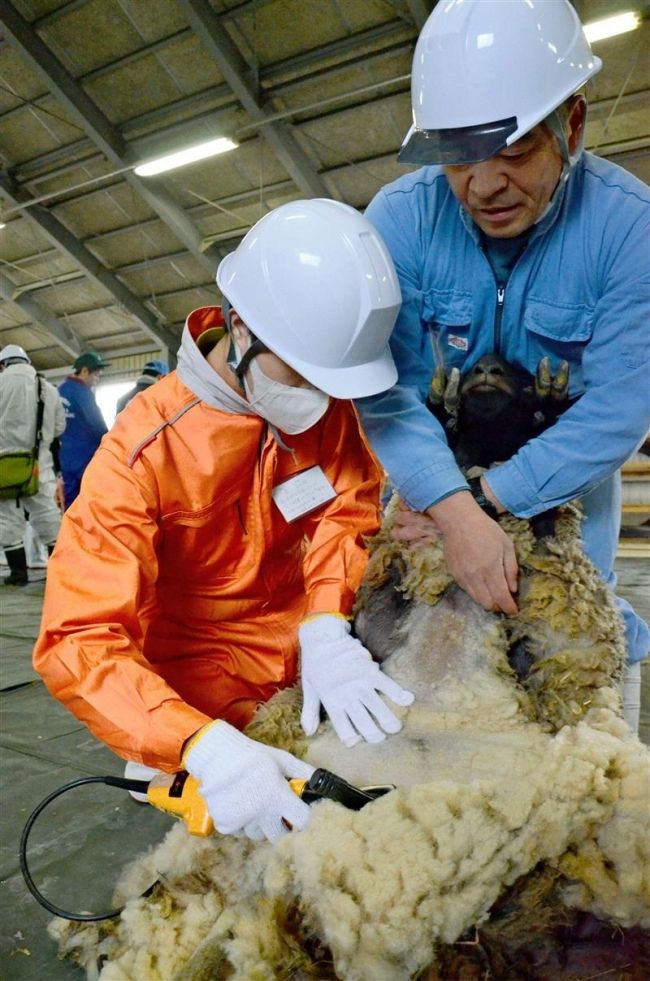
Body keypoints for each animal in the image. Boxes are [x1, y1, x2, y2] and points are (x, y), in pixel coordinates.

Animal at [48, 356, 644, 980]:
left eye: (520, 379)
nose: (485, 369)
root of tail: (267, 876)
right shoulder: (388, 597)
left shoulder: (561, 627)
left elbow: (551, 550)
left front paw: (546, 411)